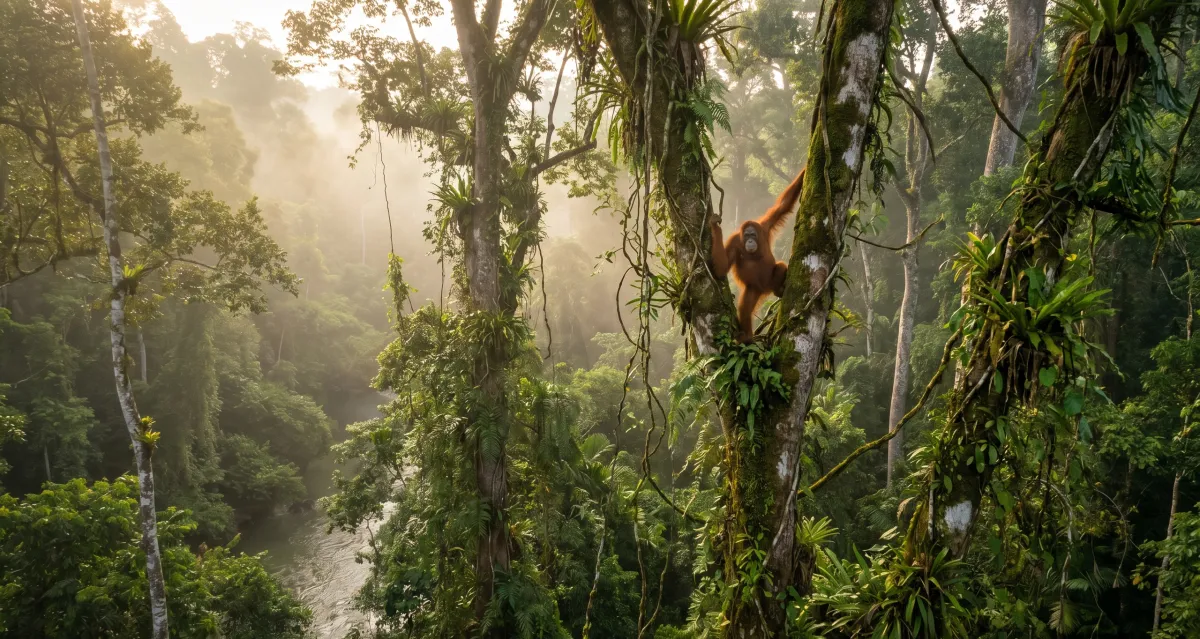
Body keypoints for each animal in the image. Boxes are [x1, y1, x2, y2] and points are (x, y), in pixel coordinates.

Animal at [710, 167, 805, 342]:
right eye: (746, 236)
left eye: (753, 235)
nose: (749, 241)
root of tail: (764, 289)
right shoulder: (734, 241)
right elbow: (721, 269)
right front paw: (715, 227)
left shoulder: (765, 226)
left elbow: (783, 205)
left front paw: (805, 169)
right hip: (753, 289)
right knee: (745, 307)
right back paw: (746, 336)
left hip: (769, 282)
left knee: (780, 266)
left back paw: (778, 290)